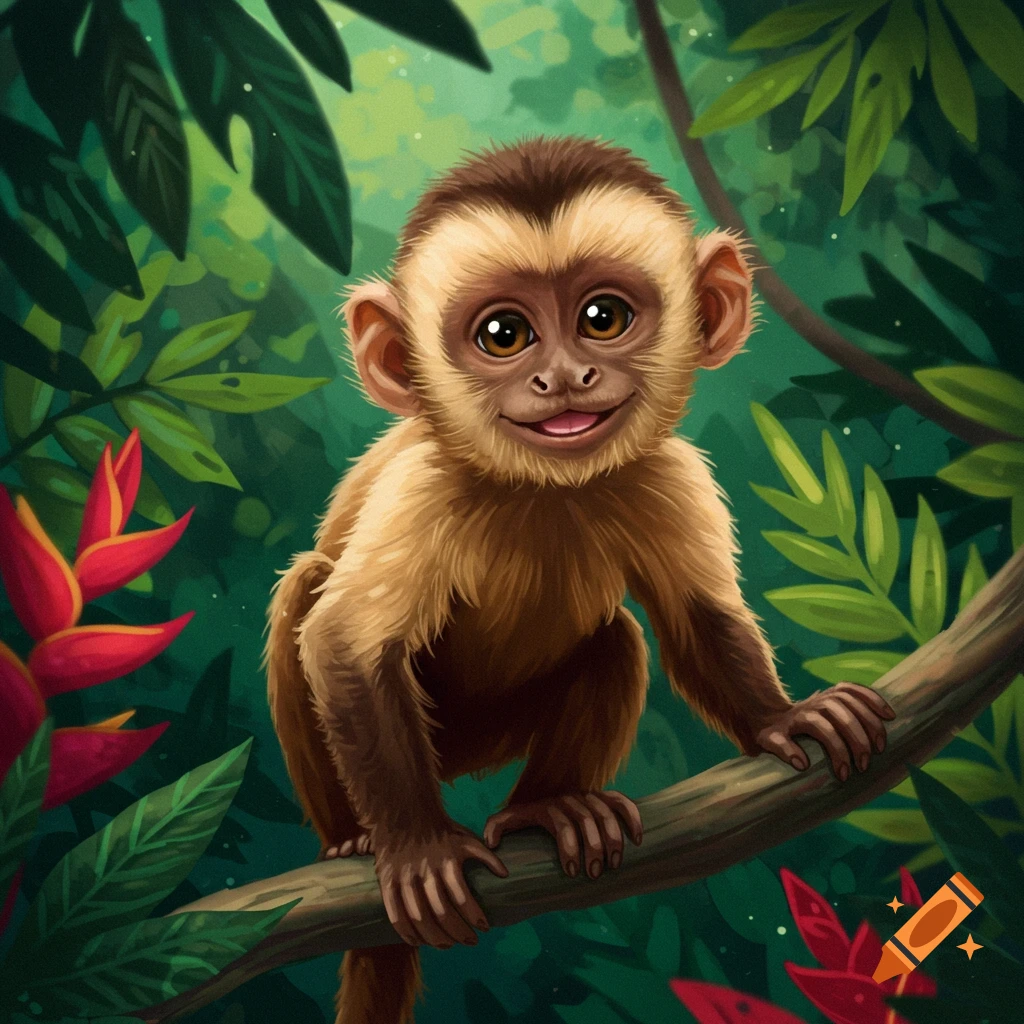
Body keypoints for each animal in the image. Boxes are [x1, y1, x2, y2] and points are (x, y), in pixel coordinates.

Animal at [265, 136, 895, 1024]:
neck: (544, 490)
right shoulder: (422, 490)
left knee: (617, 640)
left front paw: (783, 718)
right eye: (504, 334)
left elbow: (697, 622)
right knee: (306, 586)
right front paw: (417, 848)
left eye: (603, 318)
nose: (563, 379)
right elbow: (344, 647)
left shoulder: (668, 475)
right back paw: (357, 839)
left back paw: (549, 808)